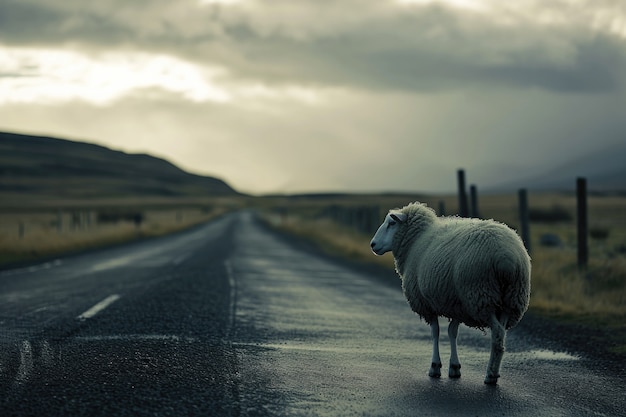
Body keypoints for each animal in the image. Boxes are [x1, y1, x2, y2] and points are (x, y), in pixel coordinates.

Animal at [368, 202, 528, 384]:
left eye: (391, 223)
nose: (372, 245)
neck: (415, 241)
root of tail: (506, 259)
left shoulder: (427, 304)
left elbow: (435, 332)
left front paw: (435, 367)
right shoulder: (456, 302)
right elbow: (452, 332)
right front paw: (454, 367)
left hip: (480, 297)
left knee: (498, 334)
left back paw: (490, 375)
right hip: (511, 300)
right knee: (502, 333)